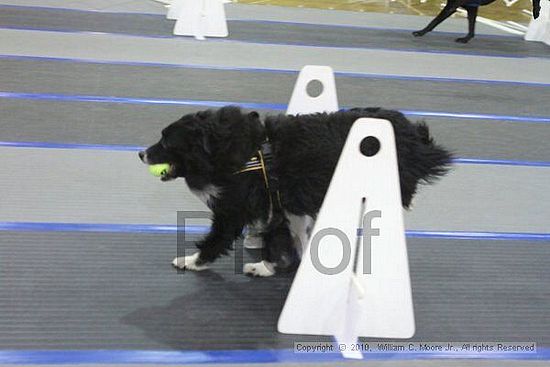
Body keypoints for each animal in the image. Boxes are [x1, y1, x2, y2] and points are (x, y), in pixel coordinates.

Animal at [139, 105, 452, 276]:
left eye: (166, 142)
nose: (141, 153)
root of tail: (415, 136)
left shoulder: (245, 207)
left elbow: (220, 239)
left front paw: (194, 262)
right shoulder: (284, 204)